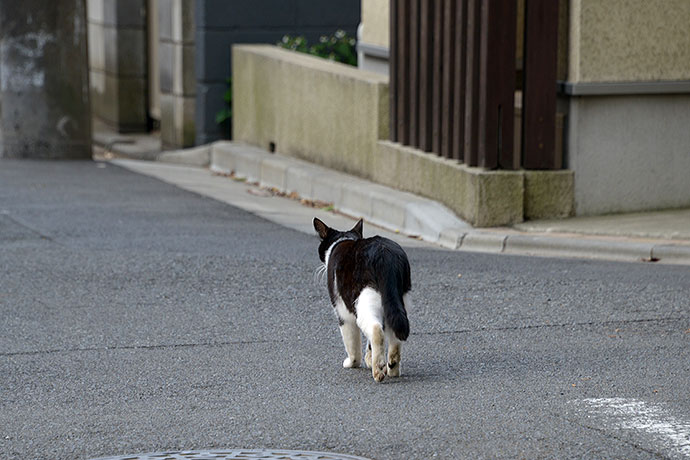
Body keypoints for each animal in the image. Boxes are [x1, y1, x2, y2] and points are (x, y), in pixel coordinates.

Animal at [312, 217, 408, 382]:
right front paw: (369, 358)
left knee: (376, 330)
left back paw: (378, 370)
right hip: (397, 300)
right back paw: (391, 367)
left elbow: (351, 342)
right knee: (393, 331)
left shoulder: (343, 312)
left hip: (363, 301)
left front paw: (353, 363)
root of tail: (385, 254)